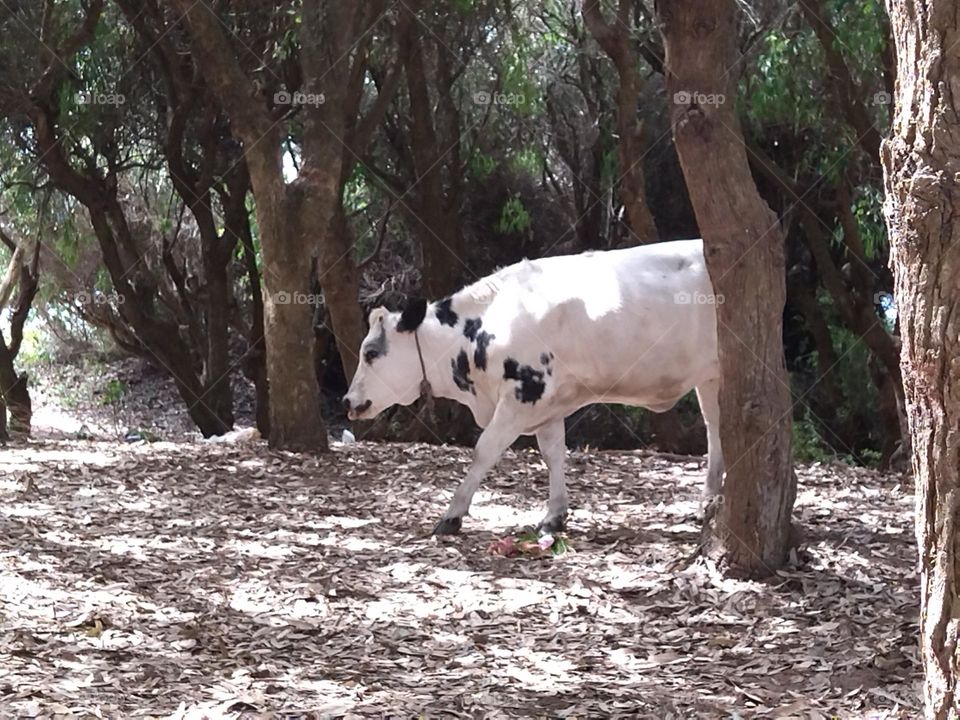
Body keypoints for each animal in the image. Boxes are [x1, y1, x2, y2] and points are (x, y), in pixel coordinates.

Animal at [342, 239, 724, 532]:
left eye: (371, 352)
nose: (348, 400)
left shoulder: (522, 395)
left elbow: (484, 450)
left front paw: (452, 515)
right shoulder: (548, 405)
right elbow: (553, 454)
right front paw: (554, 515)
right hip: (710, 378)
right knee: (716, 428)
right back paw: (709, 501)